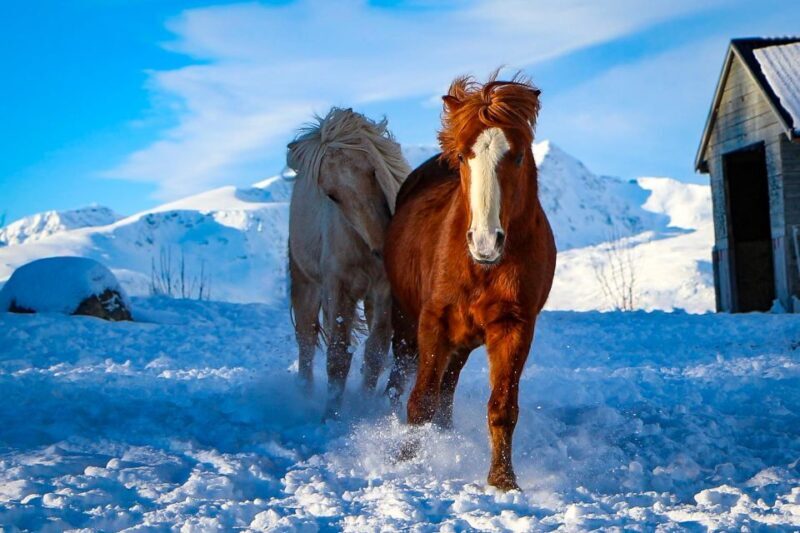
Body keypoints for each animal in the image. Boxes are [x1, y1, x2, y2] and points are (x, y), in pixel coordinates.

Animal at [287, 107, 410, 419]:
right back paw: (303, 394)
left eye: (373, 171)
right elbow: (338, 356)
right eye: (332, 195)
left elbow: (376, 352)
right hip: (305, 285)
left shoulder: (384, 292)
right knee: (306, 342)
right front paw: (331, 417)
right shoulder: (339, 288)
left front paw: (365, 407)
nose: (382, 245)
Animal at [383, 73, 556, 491]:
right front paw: (407, 464)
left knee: (446, 393)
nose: (485, 241)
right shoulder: (433, 322)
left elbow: (502, 408)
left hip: (462, 343)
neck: (481, 268)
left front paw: (503, 481)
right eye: (463, 156)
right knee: (401, 382)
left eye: (519, 155)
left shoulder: (514, 327)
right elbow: (420, 401)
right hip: (403, 322)